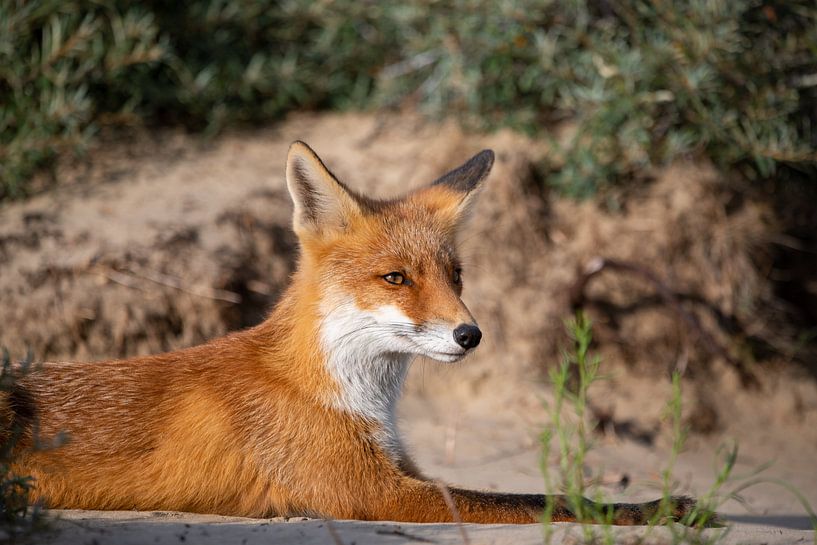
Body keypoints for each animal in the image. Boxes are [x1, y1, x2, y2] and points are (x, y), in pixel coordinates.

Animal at [1, 142, 700, 524]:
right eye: (396, 278)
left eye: (455, 276)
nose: (470, 335)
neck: (344, 394)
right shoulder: (372, 492)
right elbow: (541, 501)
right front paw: (654, 510)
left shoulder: (403, 469)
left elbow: (530, 494)